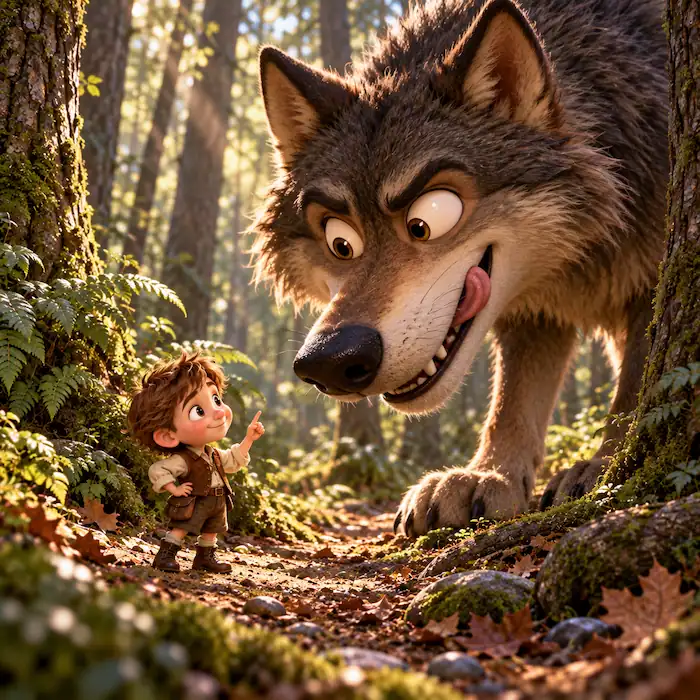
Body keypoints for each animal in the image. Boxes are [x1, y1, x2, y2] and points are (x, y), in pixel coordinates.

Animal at [251, 0, 668, 536]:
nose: (328, 361)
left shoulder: (652, 276)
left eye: (428, 220)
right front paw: (488, 476)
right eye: (340, 242)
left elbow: (636, 385)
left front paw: (607, 465)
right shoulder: (535, 314)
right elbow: (513, 403)